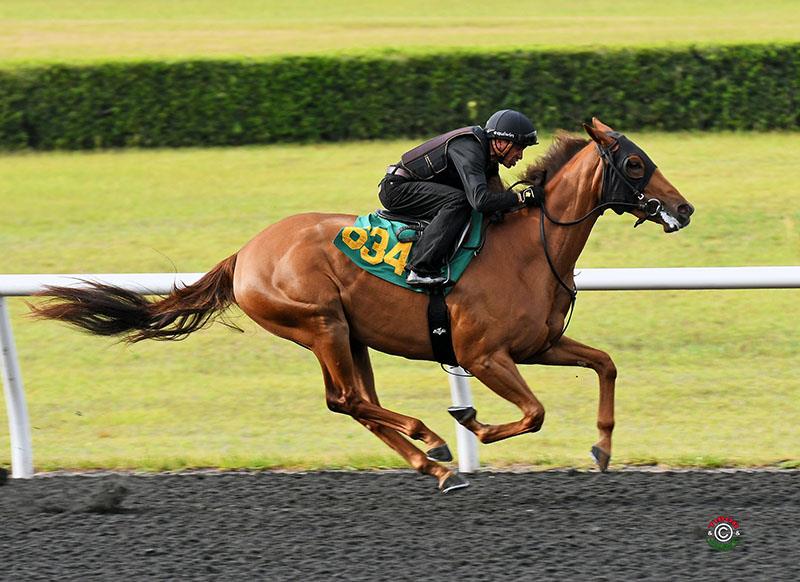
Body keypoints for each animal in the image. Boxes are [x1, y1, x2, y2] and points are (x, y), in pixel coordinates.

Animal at [31, 118, 694, 493]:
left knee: (354, 402)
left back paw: (436, 465)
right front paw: (471, 421)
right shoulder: (484, 355)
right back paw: (434, 440)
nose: (684, 209)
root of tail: (245, 253)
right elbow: (533, 413)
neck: (531, 250)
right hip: (318, 321)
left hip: (350, 334)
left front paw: (603, 448)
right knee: (347, 399)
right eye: (635, 163)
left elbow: (605, 363)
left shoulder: (541, 344)